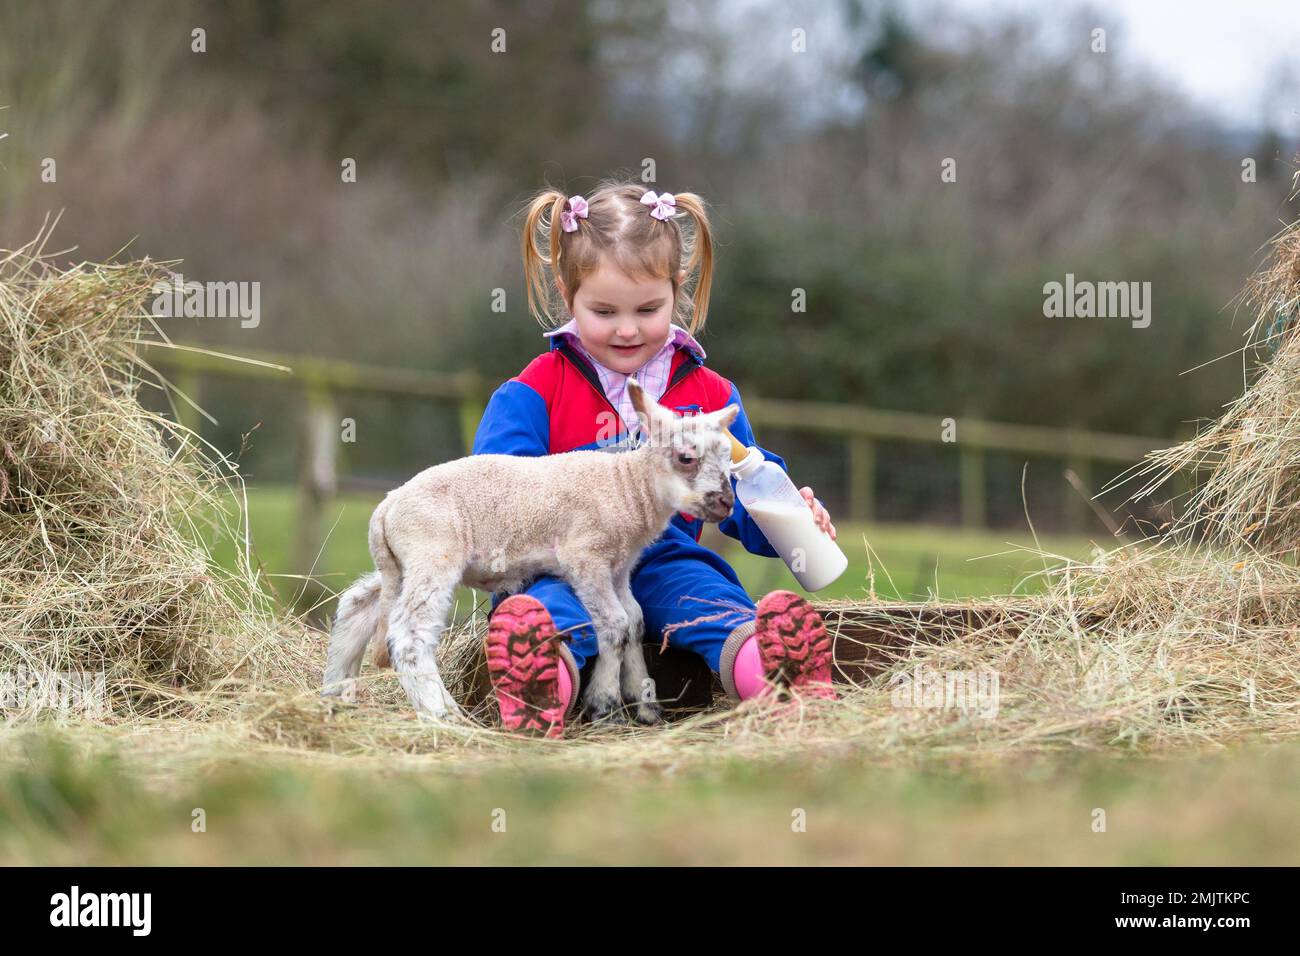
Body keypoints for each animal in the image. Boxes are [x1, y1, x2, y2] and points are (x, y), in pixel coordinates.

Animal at [319, 377, 738, 723]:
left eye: (729, 461)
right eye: (686, 457)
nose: (726, 503)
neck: (626, 487)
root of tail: (385, 509)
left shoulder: (619, 568)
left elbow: (634, 621)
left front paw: (644, 702)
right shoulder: (586, 557)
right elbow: (615, 625)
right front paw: (605, 707)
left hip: (401, 563)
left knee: (359, 606)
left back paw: (336, 694)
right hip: (432, 552)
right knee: (408, 633)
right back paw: (442, 713)